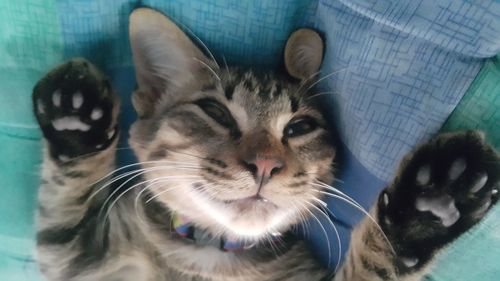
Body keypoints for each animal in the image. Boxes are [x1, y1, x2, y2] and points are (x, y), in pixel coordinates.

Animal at [33, 7, 498, 278]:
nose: (265, 164)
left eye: (299, 127)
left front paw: (422, 211)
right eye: (216, 112)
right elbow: (62, 209)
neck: (215, 255)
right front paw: (76, 116)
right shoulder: (73, 262)